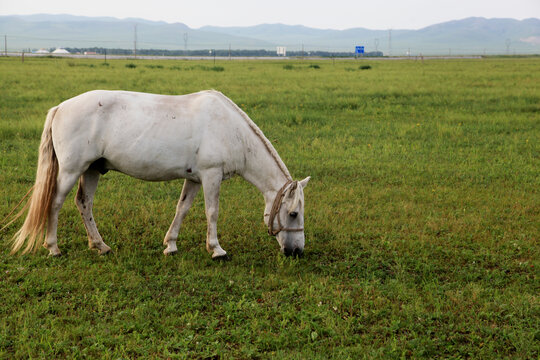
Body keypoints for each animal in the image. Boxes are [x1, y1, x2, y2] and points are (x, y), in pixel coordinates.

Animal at [10, 90, 310, 258]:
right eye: (293, 213)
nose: (297, 252)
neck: (229, 129)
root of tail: (60, 107)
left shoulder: (194, 178)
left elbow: (182, 209)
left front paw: (171, 245)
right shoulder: (211, 175)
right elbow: (212, 212)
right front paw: (216, 250)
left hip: (92, 169)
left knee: (84, 204)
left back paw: (100, 246)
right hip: (72, 170)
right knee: (55, 203)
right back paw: (53, 248)